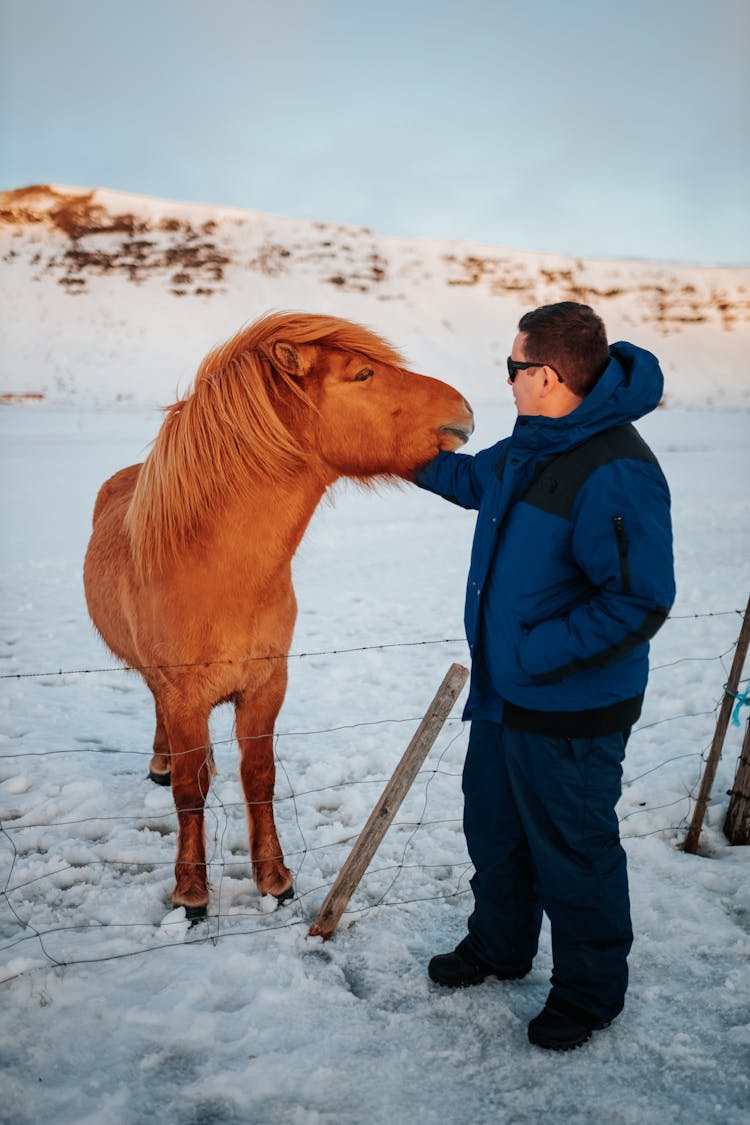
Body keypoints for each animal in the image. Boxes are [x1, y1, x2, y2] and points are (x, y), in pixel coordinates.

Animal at [83, 310, 474, 922]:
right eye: (362, 373)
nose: (464, 409)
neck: (220, 575)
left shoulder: (268, 685)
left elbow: (259, 777)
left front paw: (274, 879)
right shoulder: (184, 694)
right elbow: (190, 794)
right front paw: (191, 894)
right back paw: (162, 763)